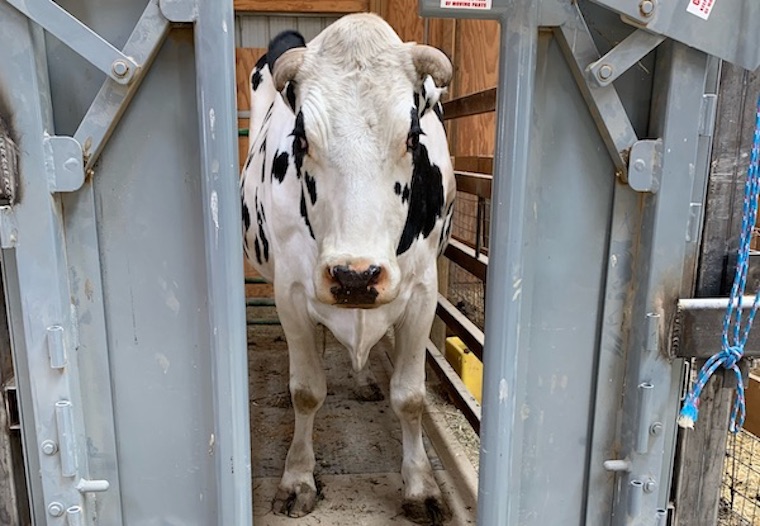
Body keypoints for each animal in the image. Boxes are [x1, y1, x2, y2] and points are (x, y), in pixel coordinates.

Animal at [240, 13, 456, 525]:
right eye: (301, 139)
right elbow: (306, 390)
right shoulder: (291, 293)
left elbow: (411, 396)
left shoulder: (422, 293)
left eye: (413, 137)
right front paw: (298, 478)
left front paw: (420, 486)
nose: (354, 275)